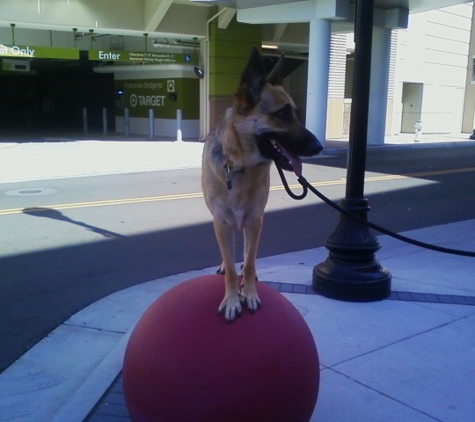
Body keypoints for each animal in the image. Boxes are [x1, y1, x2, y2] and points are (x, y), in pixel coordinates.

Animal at [202, 47, 324, 322]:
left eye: (296, 112)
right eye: (282, 113)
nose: (319, 147)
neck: (238, 166)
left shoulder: (255, 220)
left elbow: (249, 262)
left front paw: (248, 293)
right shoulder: (222, 223)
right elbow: (232, 265)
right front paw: (232, 298)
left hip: (252, 221)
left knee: (249, 252)